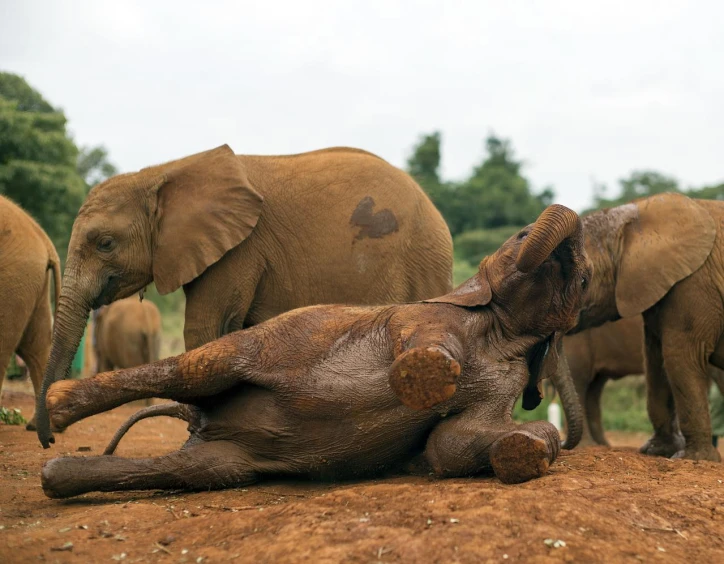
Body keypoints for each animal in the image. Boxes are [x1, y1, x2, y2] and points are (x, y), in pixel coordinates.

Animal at [36, 145, 452, 450]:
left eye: (105, 244)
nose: (49, 439)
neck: (161, 174)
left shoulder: (238, 251)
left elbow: (203, 331)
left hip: (421, 262)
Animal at [39, 205, 592, 496]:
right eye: (522, 234)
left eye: (584, 279)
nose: (571, 244)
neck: (503, 330)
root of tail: (200, 421)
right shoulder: (424, 317)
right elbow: (422, 355)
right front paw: (430, 375)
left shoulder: (507, 374)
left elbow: (451, 442)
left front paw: (527, 447)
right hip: (250, 348)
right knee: (198, 370)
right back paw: (56, 410)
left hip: (225, 463)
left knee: (193, 470)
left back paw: (56, 477)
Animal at [568, 192, 724, 460]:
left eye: (583, 280)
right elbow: (661, 358)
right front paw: (660, 452)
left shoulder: (694, 283)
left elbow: (676, 357)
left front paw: (690, 458)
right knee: (585, 383)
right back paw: (591, 447)